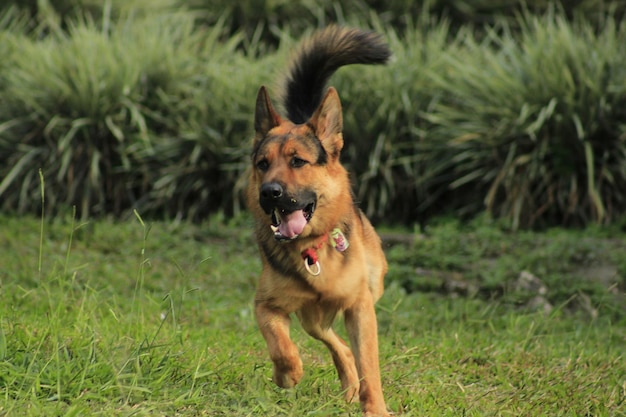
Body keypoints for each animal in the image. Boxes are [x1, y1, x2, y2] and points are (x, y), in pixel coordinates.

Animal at [245, 26, 388, 416]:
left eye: (298, 162)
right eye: (263, 164)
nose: (270, 193)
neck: (311, 249)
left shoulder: (360, 308)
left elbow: (370, 365)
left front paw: (375, 408)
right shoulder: (266, 306)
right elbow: (281, 347)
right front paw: (287, 375)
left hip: (369, 287)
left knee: (346, 345)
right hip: (312, 318)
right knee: (335, 343)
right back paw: (347, 382)